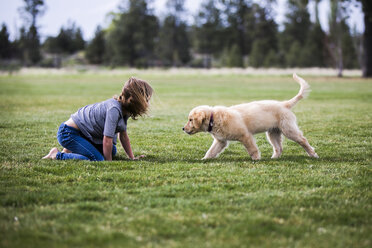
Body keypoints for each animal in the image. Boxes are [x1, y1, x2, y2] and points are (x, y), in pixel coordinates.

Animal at [182, 72, 318, 160]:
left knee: (302, 140)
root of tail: (284, 104)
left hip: (288, 129)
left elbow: (252, 149)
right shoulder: (220, 141)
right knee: (278, 147)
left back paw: (313, 154)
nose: (183, 128)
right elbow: (211, 151)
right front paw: (204, 159)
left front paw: (256, 159)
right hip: (273, 132)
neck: (213, 118)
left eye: (190, 120)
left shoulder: (245, 135)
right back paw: (274, 158)